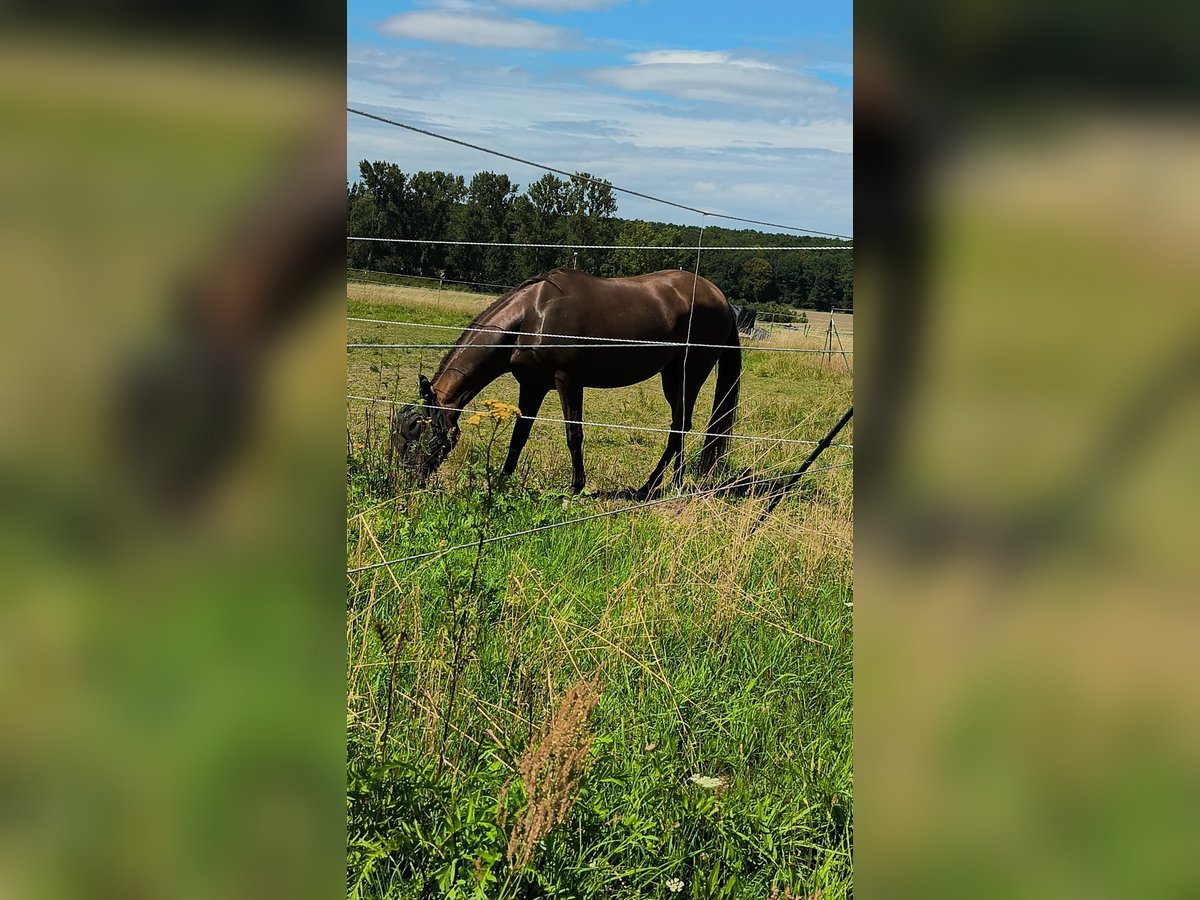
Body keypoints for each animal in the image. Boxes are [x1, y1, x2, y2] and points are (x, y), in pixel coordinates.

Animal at [391, 267, 742, 499]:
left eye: (420, 434)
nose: (406, 486)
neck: (532, 317)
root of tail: (721, 298)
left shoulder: (568, 382)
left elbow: (574, 435)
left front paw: (575, 487)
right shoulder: (532, 385)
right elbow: (519, 436)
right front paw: (504, 480)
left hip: (687, 375)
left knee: (680, 426)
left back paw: (669, 485)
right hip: (672, 375)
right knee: (678, 427)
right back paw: (650, 486)